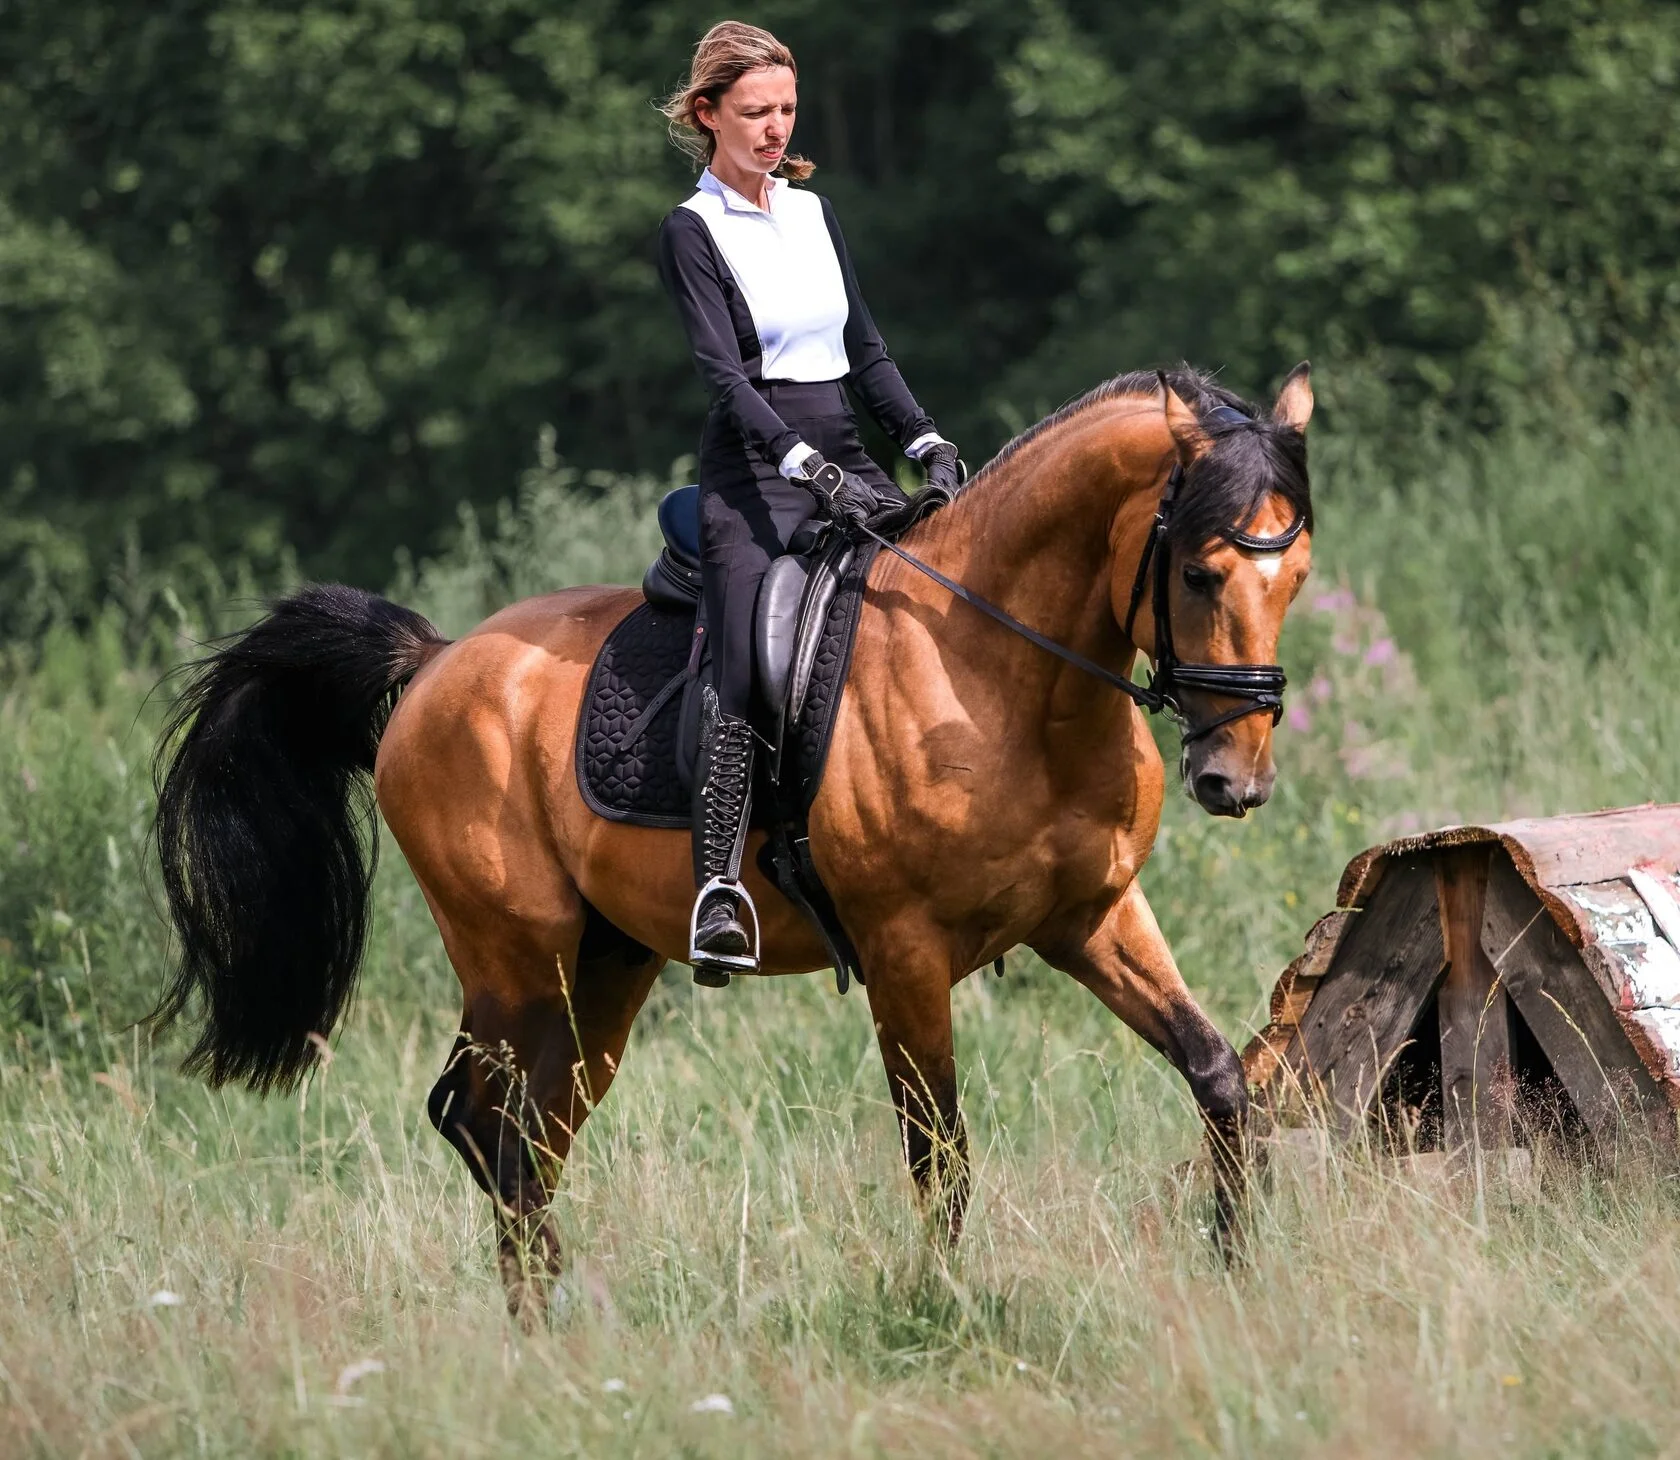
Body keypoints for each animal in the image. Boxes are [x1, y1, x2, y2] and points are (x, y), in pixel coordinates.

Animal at [151, 365, 1315, 1313]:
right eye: (1200, 573)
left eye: (1295, 575)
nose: (1235, 779)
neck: (1003, 679)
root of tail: (436, 661)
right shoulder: (905, 953)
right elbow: (939, 1153)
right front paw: (943, 1307)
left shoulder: (1091, 917)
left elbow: (1219, 1074)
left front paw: (1236, 1269)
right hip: (515, 960)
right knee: (492, 1124)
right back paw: (553, 1324)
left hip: (604, 968)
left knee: (527, 1128)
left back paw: (551, 1312)